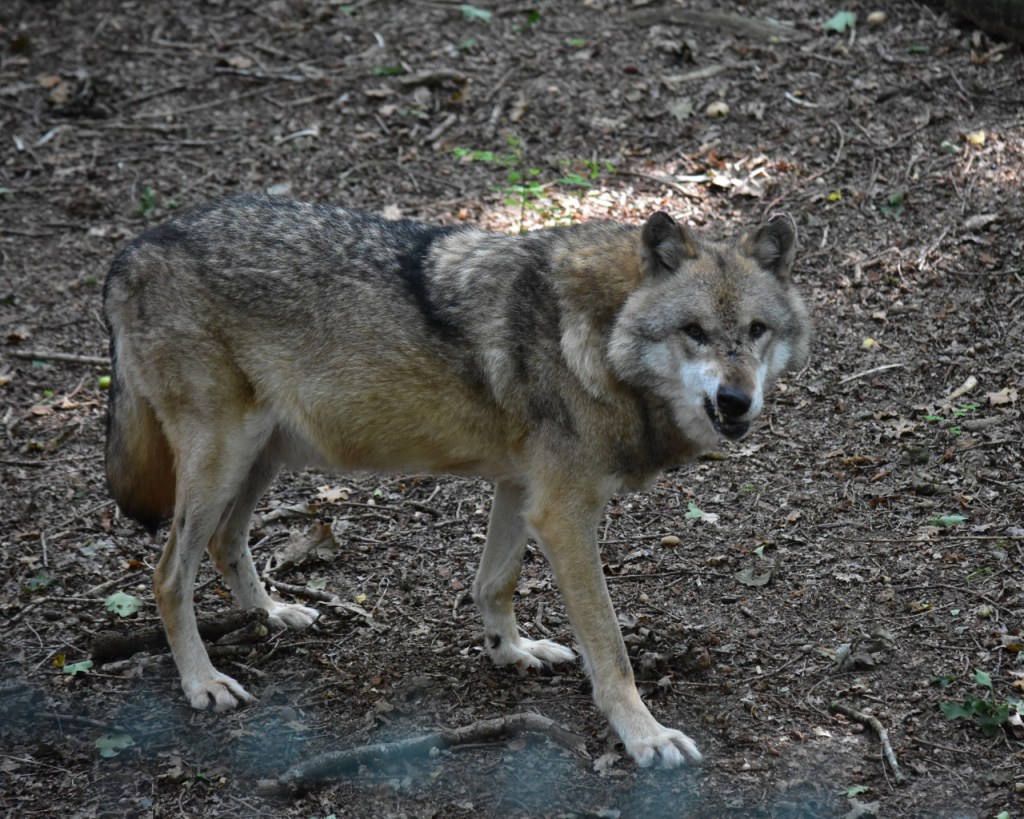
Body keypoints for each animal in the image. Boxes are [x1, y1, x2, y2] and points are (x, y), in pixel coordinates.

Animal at [103, 194, 809, 769]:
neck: (599, 337)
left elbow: (494, 582)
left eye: (756, 331)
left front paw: (510, 651)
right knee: (168, 574)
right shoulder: (565, 513)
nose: (737, 399)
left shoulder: (523, 490)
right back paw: (203, 682)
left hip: (264, 457)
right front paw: (645, 738)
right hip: (224, 460)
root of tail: (133, 249)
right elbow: (611, 650)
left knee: (225, 543)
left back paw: (273, 614)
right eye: (694, 332)